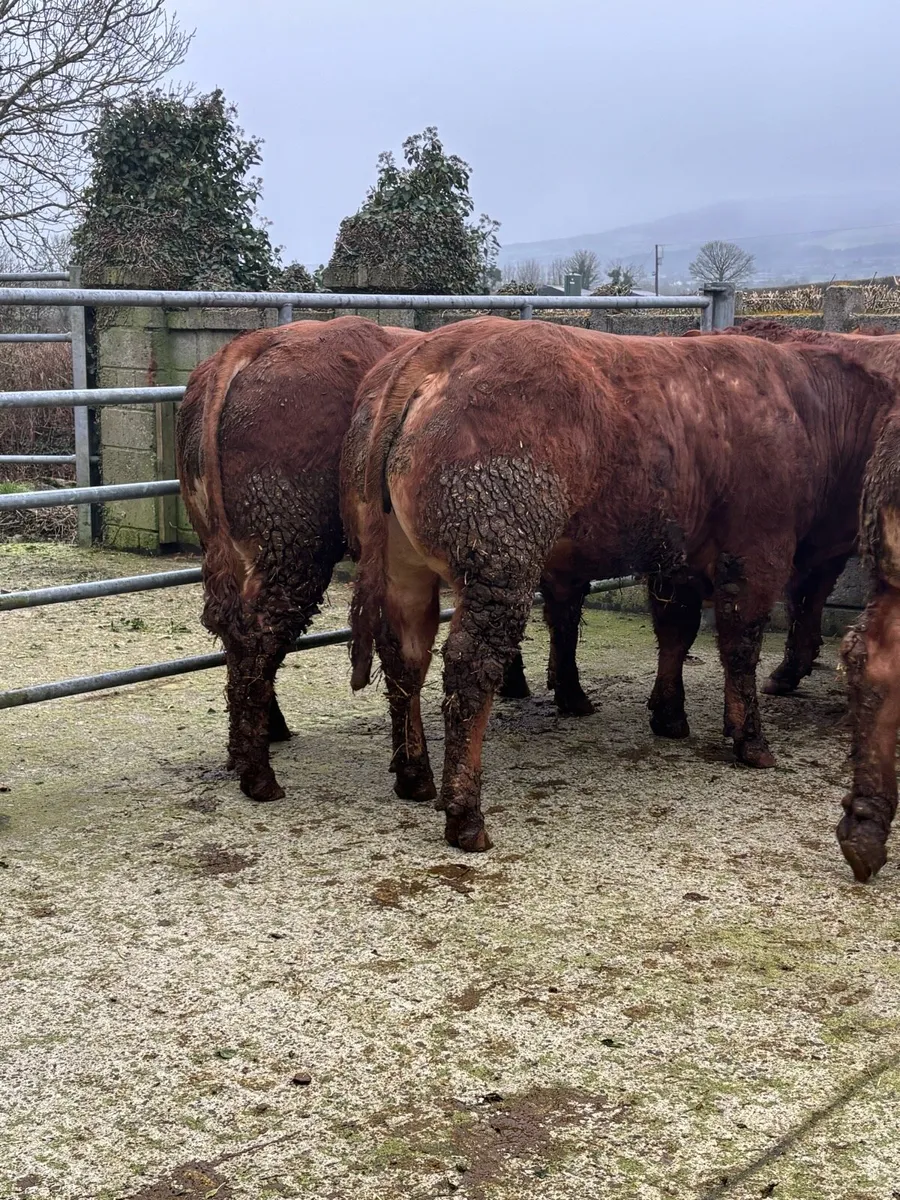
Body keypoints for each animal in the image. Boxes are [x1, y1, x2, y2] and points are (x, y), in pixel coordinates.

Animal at [345, 316, 895, 851]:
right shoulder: (759, 550)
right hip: (499, 558)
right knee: (469, 667)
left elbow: (676, 633)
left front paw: (669, 715)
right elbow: (740, 646)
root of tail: (437, 348)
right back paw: (465, 815)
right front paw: (751, 740)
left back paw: (415, 776)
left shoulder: (677, 558)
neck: (806, 406)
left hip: (403, 565)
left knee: (405, 657)